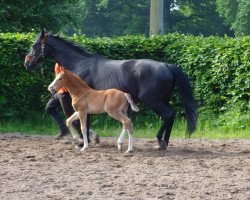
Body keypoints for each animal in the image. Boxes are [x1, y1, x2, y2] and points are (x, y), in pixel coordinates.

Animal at [24, 29, 197, 148]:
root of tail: (166, 66)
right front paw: (88, 138)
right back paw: (164, 142)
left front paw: (84, 141)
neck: (79, 65)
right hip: (163, 100)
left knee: (168, 115)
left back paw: (160, 141)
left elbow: (79, 121)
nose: (27, 63)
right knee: (170, 116)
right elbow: (78, 120)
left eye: (35, 45)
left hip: (153, 101)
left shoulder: (73, 100)